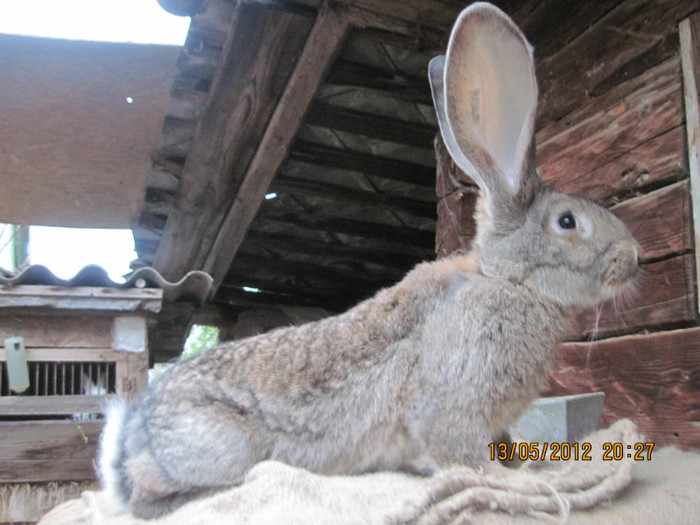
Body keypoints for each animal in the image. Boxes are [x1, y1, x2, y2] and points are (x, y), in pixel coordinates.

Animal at [98, 3, 640, 516]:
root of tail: (130, 444)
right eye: (568, 222)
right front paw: (522, 481)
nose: (634, 258)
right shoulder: (455, 400)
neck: (507, 280)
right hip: (219, 445)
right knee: (149, 501)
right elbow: (463, 454)